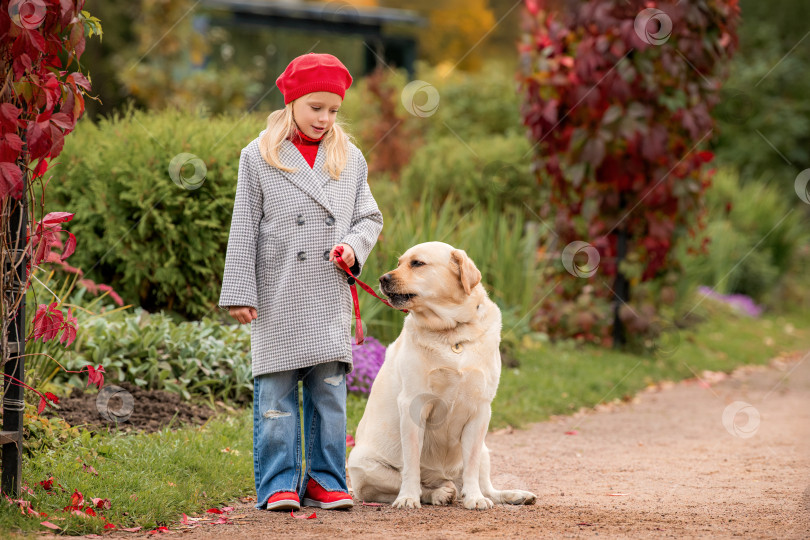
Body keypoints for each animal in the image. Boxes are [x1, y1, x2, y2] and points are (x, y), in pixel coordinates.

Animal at [348, 243, 536, 508]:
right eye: (399, 263)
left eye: (417, 263)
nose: (383, 279)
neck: (452, 331)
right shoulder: (414, 405)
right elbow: (411, 466)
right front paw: (408, 498)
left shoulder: (480, 410)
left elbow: (471, 469)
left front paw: (475, 499)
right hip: (363, 465)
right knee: (412, 485)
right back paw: (438, 493)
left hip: (485, 450)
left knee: (485, 487)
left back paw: (513, 495)